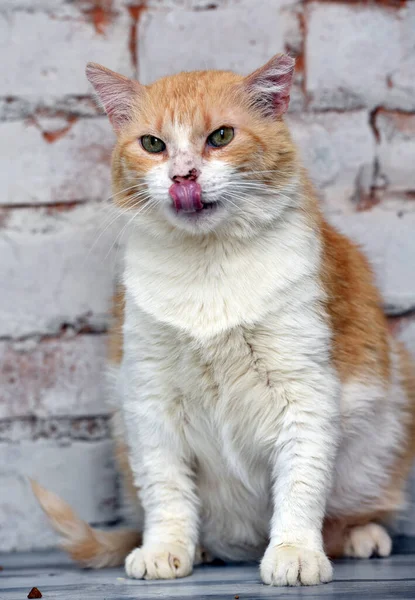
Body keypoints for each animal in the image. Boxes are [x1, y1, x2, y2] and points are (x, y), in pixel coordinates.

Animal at [32, 52, 415, 584]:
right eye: (153, 144)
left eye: (221, 136)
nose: (183, 175)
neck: (208, 263)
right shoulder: (148, 394)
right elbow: (166, 487)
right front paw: (165, 548)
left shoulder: (305, 390)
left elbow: (301, 482)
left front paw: (295, 552)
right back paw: (206, 548)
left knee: (353, 510)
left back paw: (361, 534)